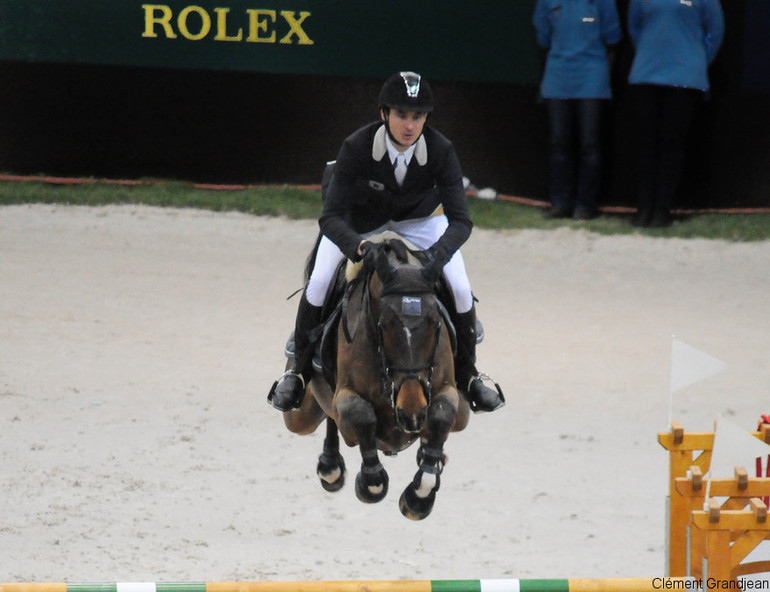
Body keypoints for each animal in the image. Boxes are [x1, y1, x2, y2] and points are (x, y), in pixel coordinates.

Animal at [276, 234, 468, 520]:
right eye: (383, 326)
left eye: (436, 324)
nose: (412, 413)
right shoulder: (345, 396)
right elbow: (360, 413)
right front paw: (372, 482)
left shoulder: (447, 391)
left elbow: (442, 413)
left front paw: (419, 495)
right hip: (300, 416)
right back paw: (330, 466)